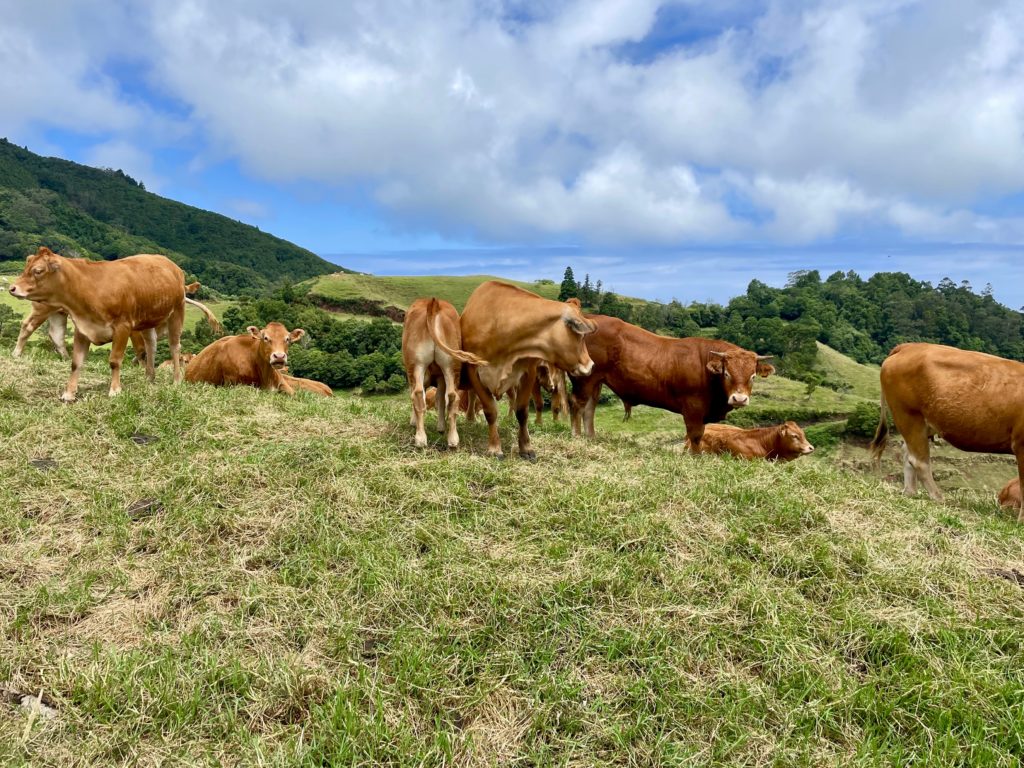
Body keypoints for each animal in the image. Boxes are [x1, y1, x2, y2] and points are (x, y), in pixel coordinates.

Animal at [9, 246, 189, 403]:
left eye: (38, 271)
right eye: (27, 266)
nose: (12, 288)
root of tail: (171, 264)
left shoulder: (123, 327)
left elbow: (115, 360)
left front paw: (115, 390)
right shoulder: (82, 328)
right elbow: (76, 362)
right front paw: (69, 393)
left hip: (177, 311)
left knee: (174, 346)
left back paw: (176, 379)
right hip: (148, 318)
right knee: (151, 344)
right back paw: (149, 377)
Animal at [460, 284, 598, 460]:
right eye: (580, 337)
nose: (591, 365)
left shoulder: (528, 373)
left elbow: (522, 412)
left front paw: (525, 447)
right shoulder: (475, 372)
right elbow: (490, 411)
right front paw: (494, 448)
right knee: (472, 396)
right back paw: (470, 418)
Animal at [569, 315, 774, 454]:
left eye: (753, 376)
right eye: (726, 373)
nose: (739, 399)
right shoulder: (692, 407)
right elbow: (695, 435)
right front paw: (695, 457)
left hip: (595, 381)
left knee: (589, 408)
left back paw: (591, 438)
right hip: (584, 378)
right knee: (578, 405)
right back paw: (576, 437)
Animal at [872, 342, 1024, 524]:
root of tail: (910, 346)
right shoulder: (1021, 444)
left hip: (919, 422)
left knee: (907, 453)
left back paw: (910, 492)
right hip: (908, 414)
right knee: (918, 460)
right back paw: (938, 497)